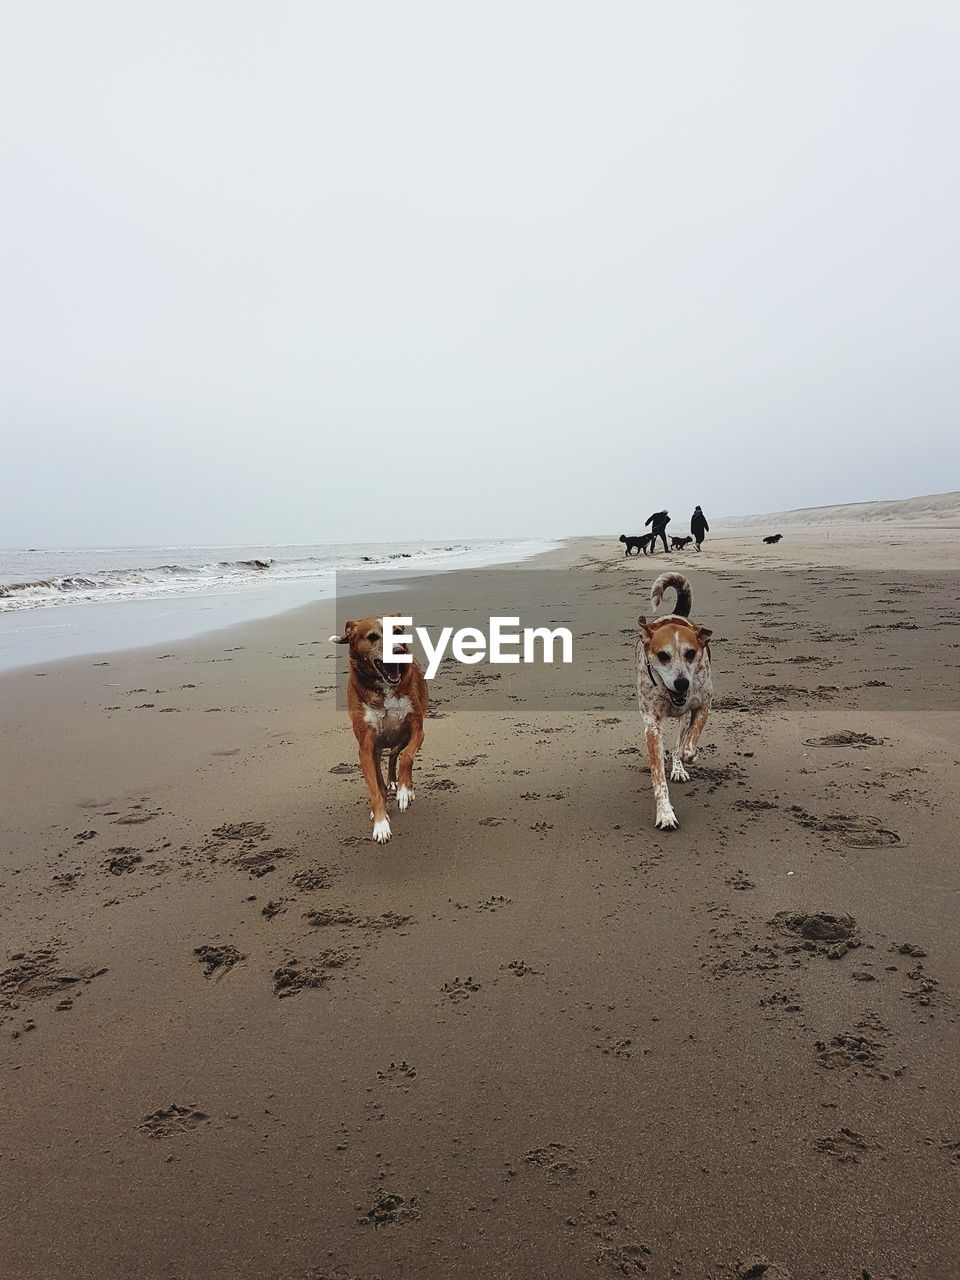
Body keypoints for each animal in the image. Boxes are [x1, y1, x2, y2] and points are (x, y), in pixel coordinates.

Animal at [330, 614, 427, 844]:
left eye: (398, 631)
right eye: (373, 637)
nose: (398, 650)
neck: (384, 688)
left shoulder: (417, 729)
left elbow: (407, 758)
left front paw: (404, 790)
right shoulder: (366, 745)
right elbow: (374, 787)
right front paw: (381, 823)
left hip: (401, 737)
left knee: (394, 755)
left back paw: (399, 785)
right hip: (376, 746)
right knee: (381, 771)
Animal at [640, 570, 716, 829]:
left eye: (690, 653)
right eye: (663, 656)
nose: (682, 683)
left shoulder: (703, 705)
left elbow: (691, 739)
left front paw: (686, 757)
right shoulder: (652, 723)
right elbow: (658, 779)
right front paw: (665, 813)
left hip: (685, 717)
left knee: (682, 737)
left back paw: (679, 765)